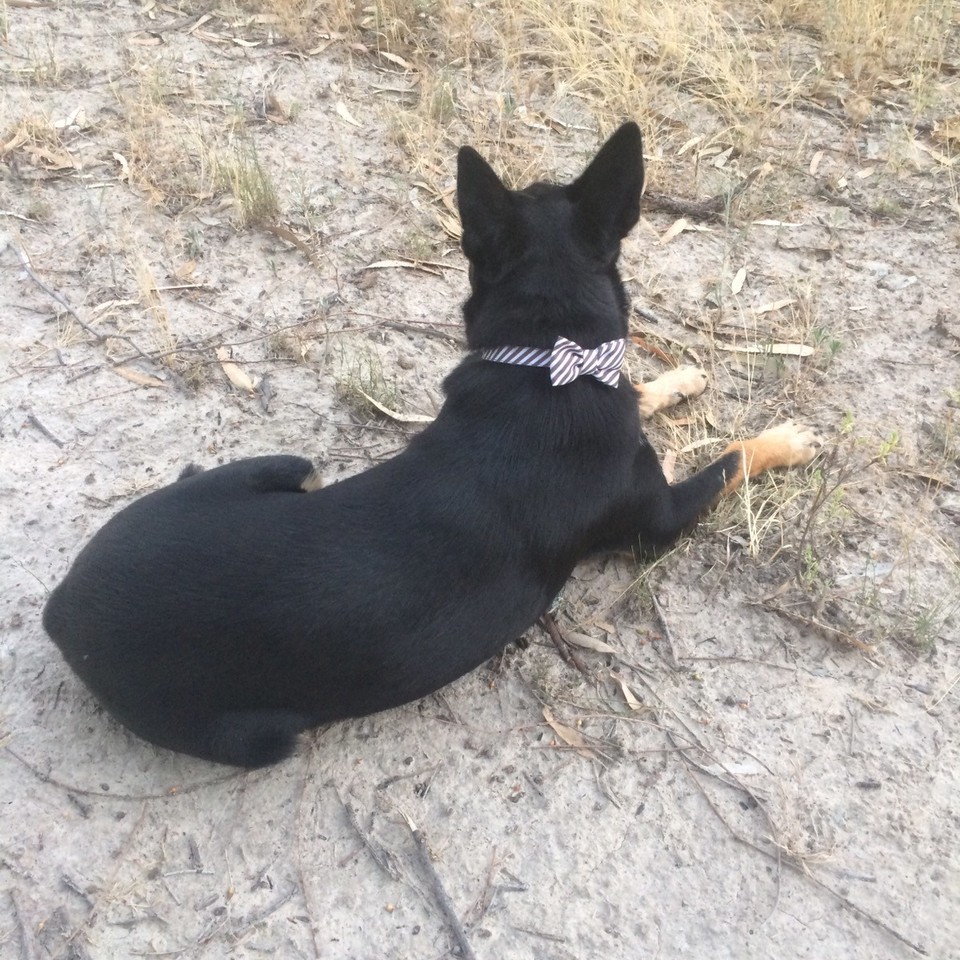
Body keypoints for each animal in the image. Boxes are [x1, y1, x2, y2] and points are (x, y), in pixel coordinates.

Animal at [39, 124, 816, 768]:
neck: (545, 359)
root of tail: (63, 607)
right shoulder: (657, 520)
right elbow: (728, 460)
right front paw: (784, 438)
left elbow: (638, 390)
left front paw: (679, 377)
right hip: (264, 735)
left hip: (277, 468)